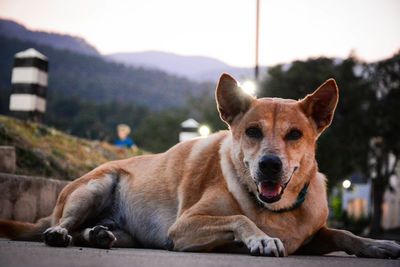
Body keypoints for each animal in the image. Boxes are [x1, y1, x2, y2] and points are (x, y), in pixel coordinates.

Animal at [0, 74, 400, 258]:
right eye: (252, 131)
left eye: (295, 134)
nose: (270, 165)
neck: (276, 211)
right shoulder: (183, 228)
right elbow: (239, 218)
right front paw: (260, 238)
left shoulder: (312, 235)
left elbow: (343, 234)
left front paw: (378, 244)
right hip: (96, 186)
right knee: (62, 224)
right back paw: (60, 233)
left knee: (95, 231)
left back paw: (98, 235)